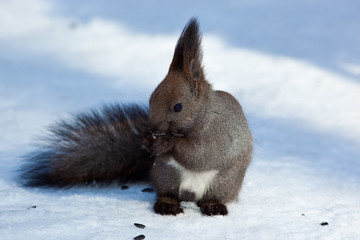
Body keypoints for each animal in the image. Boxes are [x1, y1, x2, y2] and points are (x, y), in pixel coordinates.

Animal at [17, 18, 253, 217]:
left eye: (178, 107)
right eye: (151, 98)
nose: (153, 128)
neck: (203, 115)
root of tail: (191, 197)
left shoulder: (218, 135)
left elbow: (200, 154)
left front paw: (168, 143)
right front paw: (146, 141)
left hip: (224, 182)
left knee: (213, 196)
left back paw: (213, 206)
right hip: (166, 175)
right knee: (169, 194)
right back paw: (167, 204)